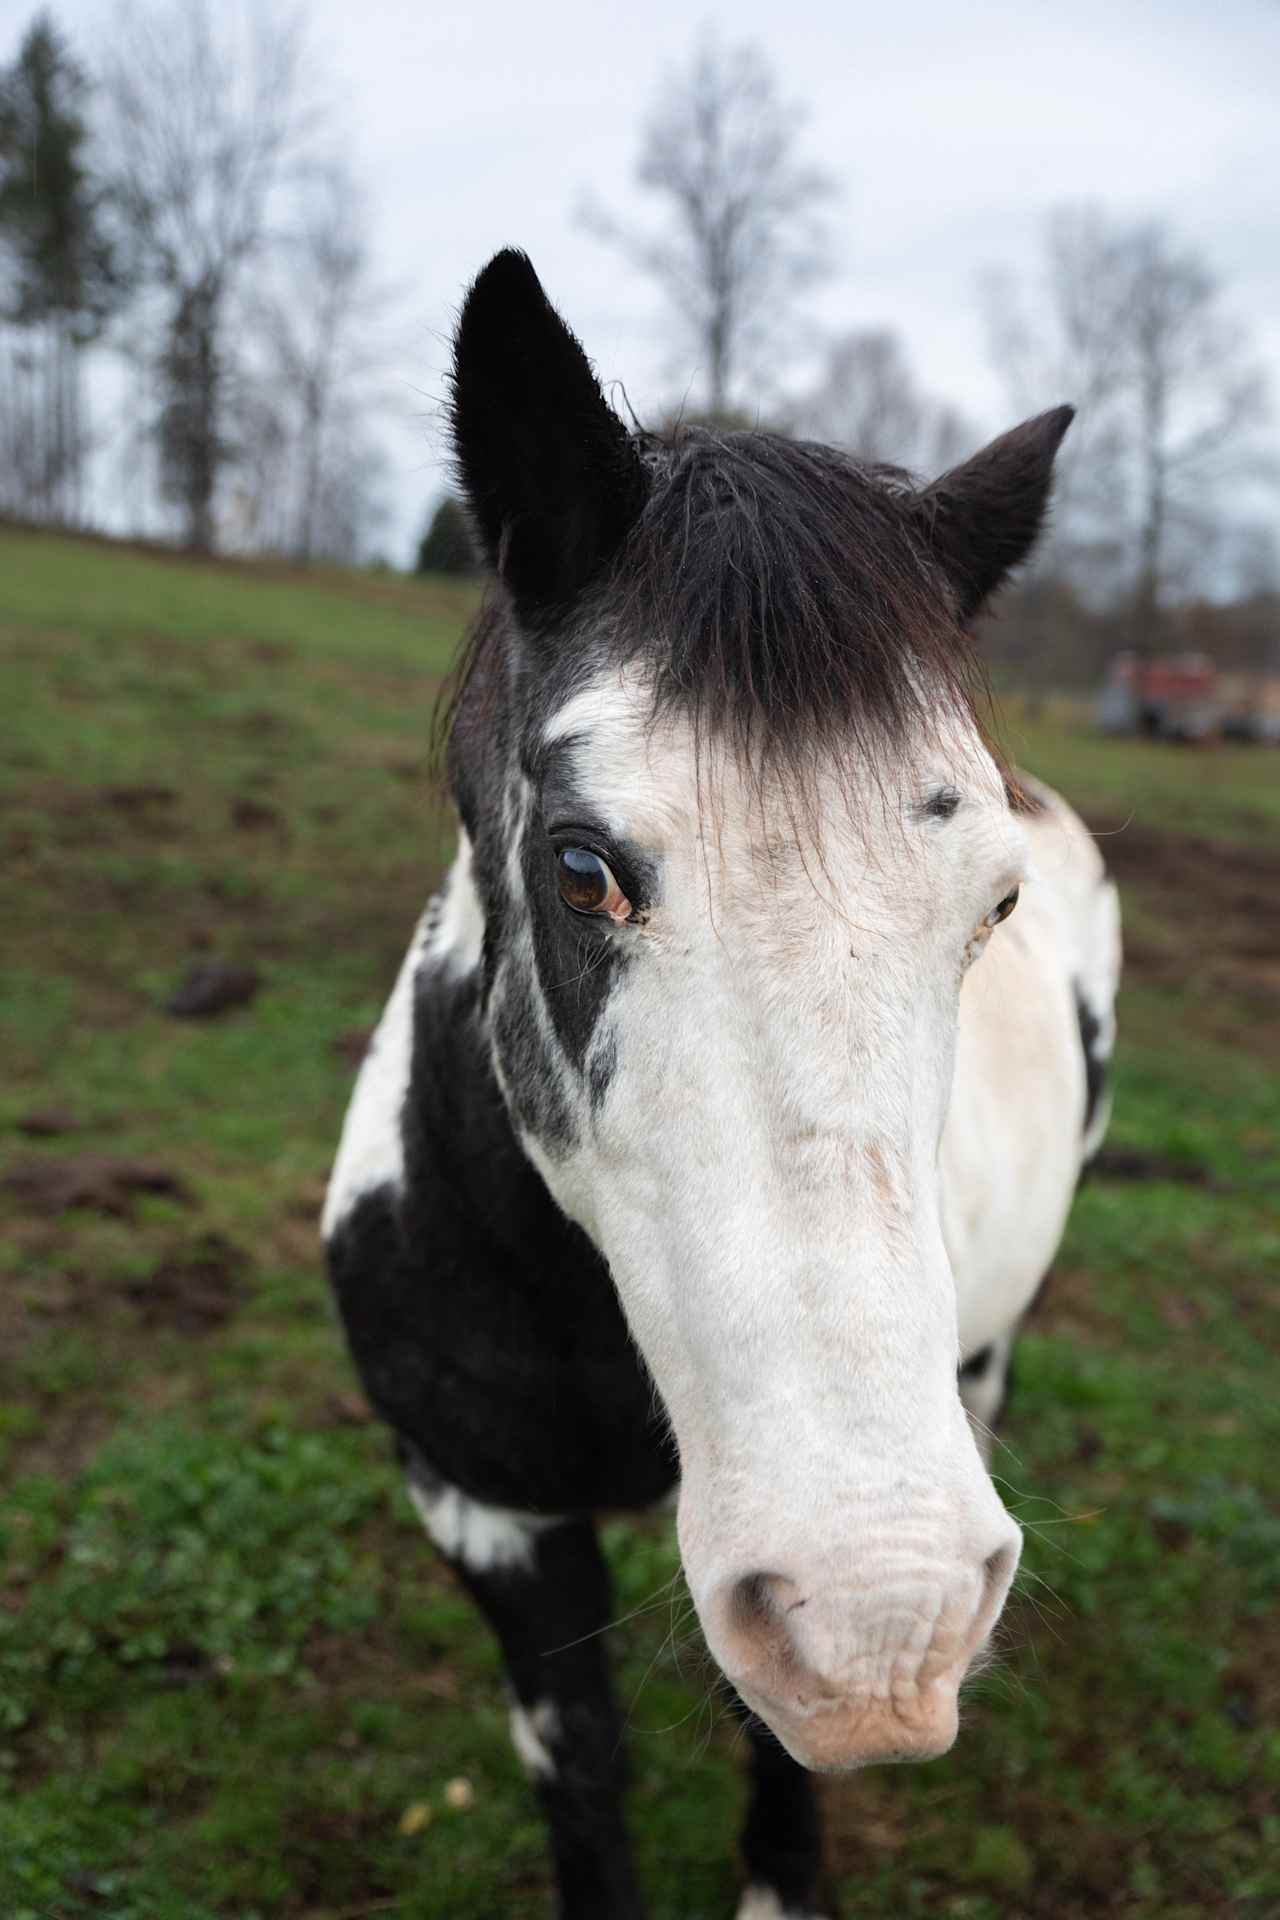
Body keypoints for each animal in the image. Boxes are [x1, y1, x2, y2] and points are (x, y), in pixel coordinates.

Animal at [322, 251, 1120, 1920]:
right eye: (581, 868)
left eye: (995, 904)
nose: (883, 1620)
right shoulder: (485, 1512)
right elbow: (583, 1771)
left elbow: (777, 1753)